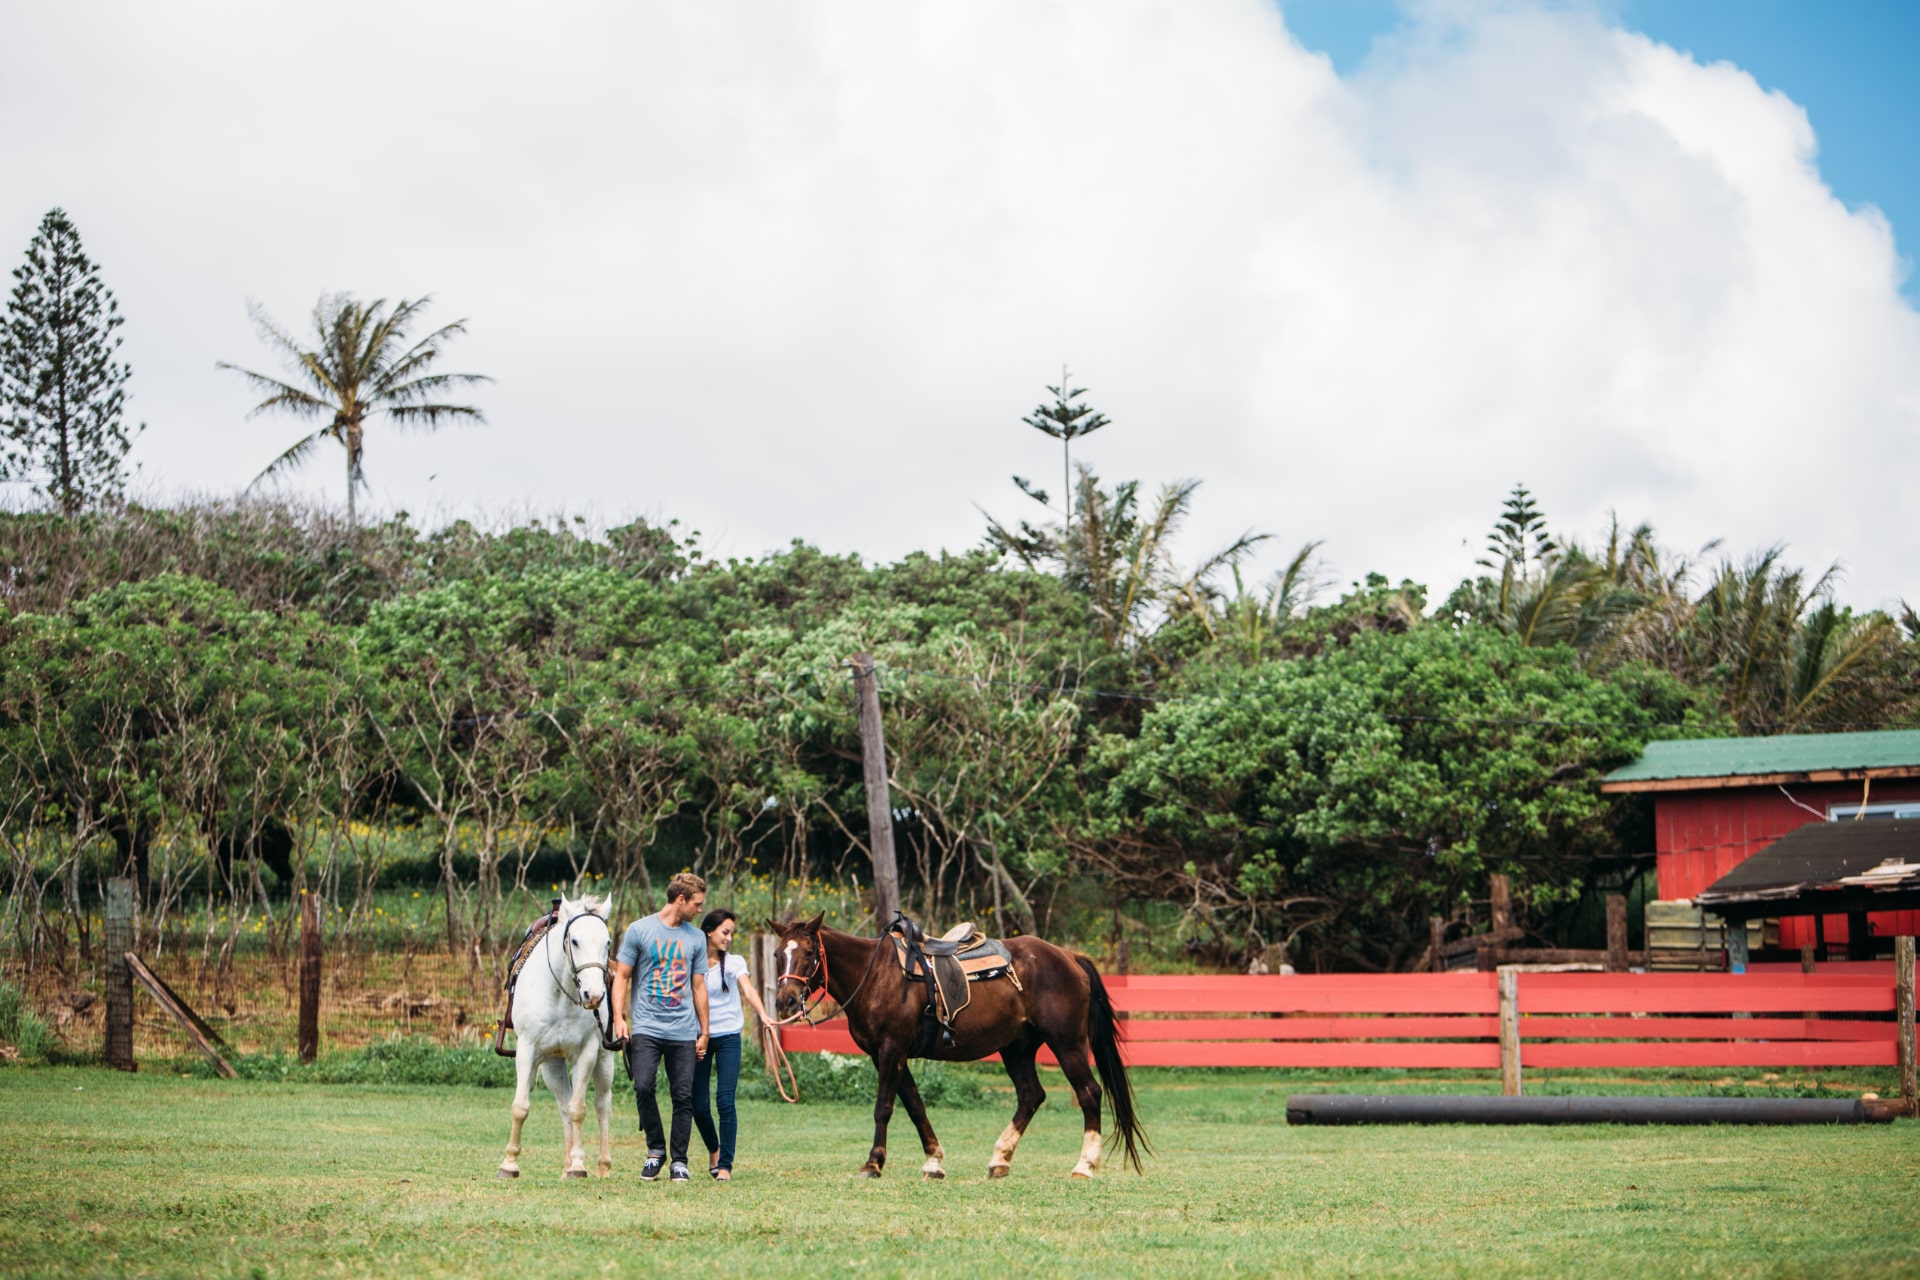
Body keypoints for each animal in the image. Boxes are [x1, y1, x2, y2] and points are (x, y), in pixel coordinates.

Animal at [499, 890, 618, 1182]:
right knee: (563, 1103)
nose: (594, 995)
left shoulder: (587, 1052)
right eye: (574, 941)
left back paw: (601, 1165)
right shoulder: (528, 1049)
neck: (560, 995)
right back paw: (566, 1166)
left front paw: (578, 1165)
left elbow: (579, 1110)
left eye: (607, 942)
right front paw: (509, 1164)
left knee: (602, 1105)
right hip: (551, 1065)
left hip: (604, 1060)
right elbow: (521, 1107)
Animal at [764, 909, 1144, 1182]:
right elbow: (915, 1107)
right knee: (1031, 1096)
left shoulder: (890, 1050)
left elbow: (883, 1108)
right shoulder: (887, 1055)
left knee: (1089, 1093)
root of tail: (1069, 957)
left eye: (809, 952)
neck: (875, 976)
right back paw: (1000, 1159)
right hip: (1017, 1048)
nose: (785, 1001)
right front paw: (933, 1162)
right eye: (777, 954)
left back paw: (1084, 1165)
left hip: (1067, 1045)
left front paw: (872, 1164)